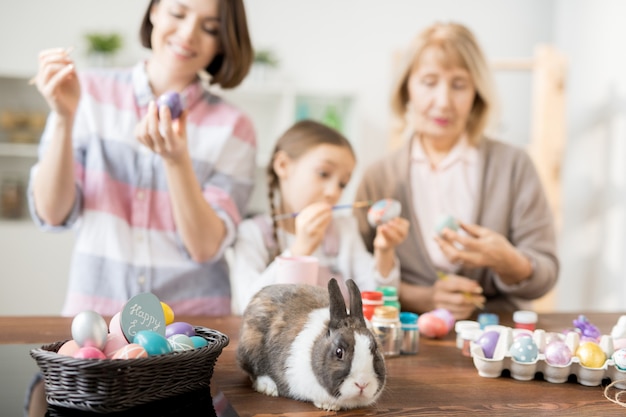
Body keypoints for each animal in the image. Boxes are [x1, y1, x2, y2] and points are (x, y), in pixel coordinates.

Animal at [235, 276, 386, 410]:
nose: (363, 384)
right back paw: (269, 387)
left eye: (375, 349)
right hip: (251, 347)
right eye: (339, 352)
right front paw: (328, 406)